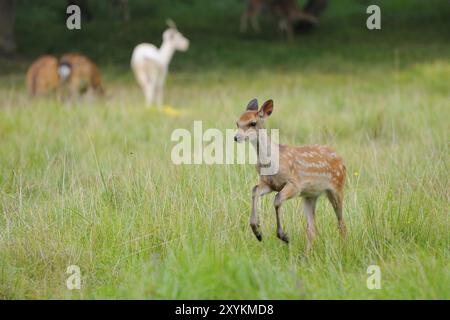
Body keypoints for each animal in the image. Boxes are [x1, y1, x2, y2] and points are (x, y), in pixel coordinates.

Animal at [234, 98, 346, 252]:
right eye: (237, 122)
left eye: (253, 123)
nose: (236, 137)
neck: (272, 162)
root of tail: (342, 161)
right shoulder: (268, 183)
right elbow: (254, 190)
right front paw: (257, 232)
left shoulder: (295, 184)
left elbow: (277, 199)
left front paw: (283, 236)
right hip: (310, 195)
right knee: (312, 229)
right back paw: (305, 255)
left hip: (337, 187)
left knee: (342, 224)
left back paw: (344, 248)